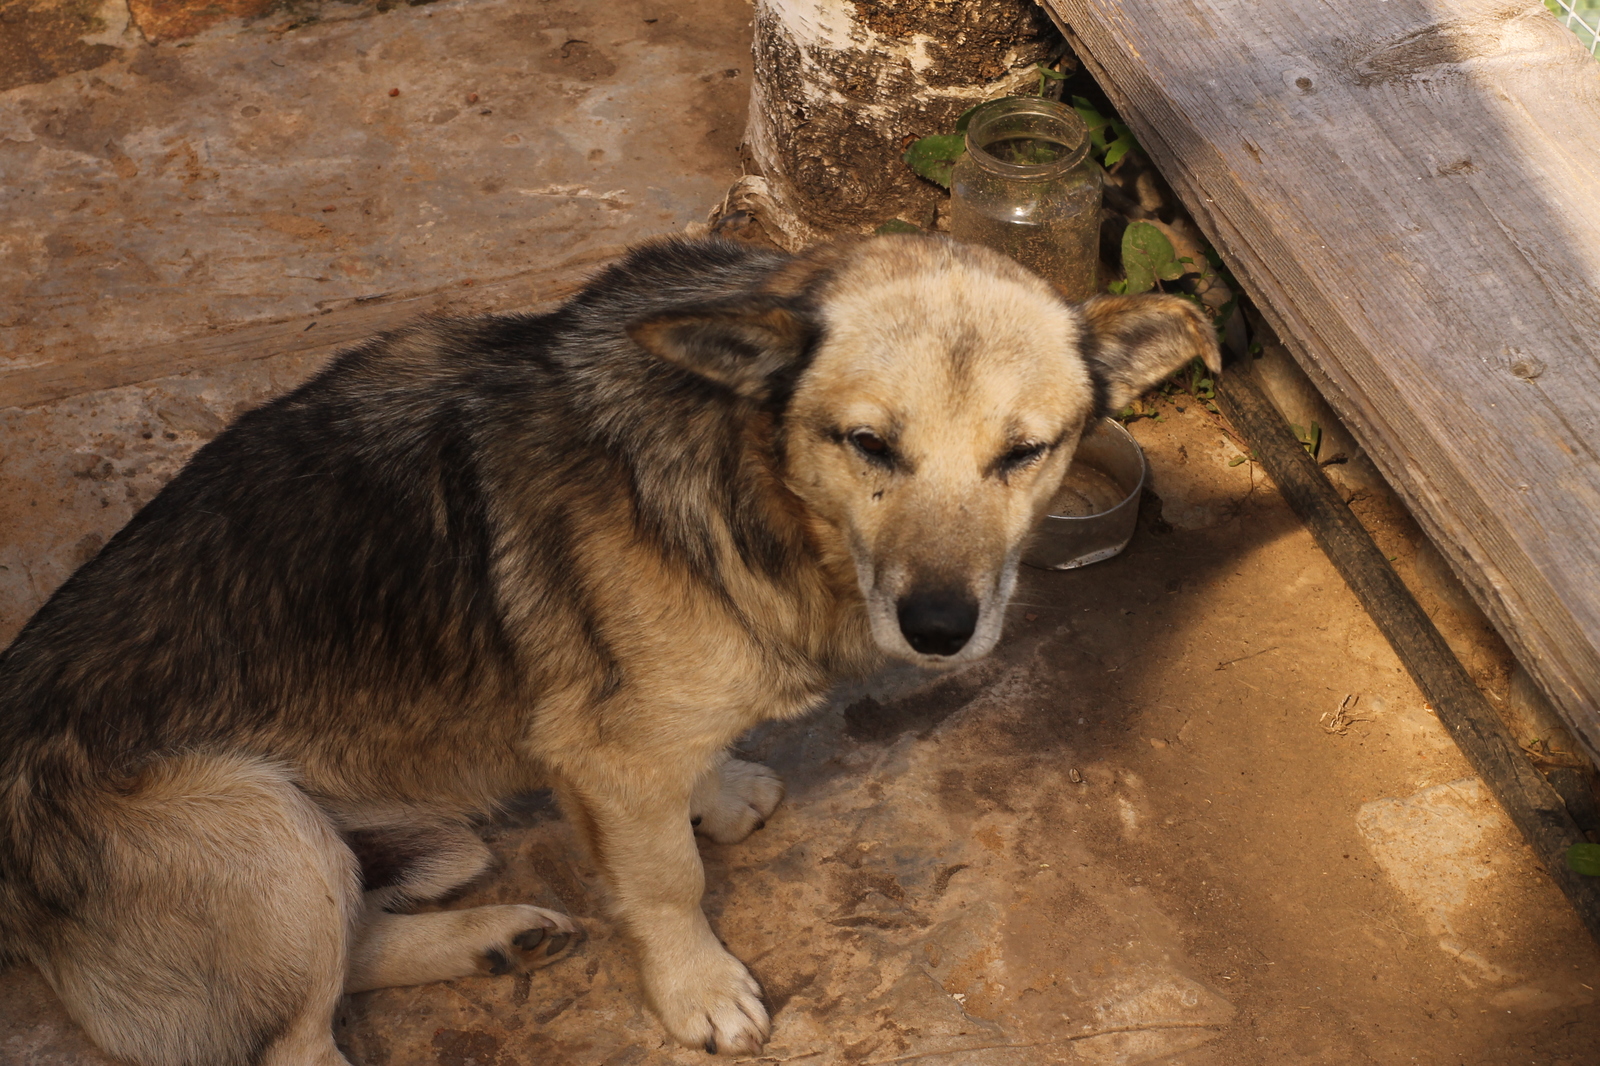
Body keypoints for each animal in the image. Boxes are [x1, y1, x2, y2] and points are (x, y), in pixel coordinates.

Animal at [0, 235, 1209, 1062]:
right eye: (868, 444)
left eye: (1025, 454)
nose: (942, 629)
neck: (752, 478)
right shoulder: (611, 764)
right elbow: (667, 877)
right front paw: (696, 988)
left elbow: (689, 772)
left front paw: (718, 786)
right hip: (259, 824)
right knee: (296, 1038)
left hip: (398, 846)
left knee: (357, 945)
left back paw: (496, 939)